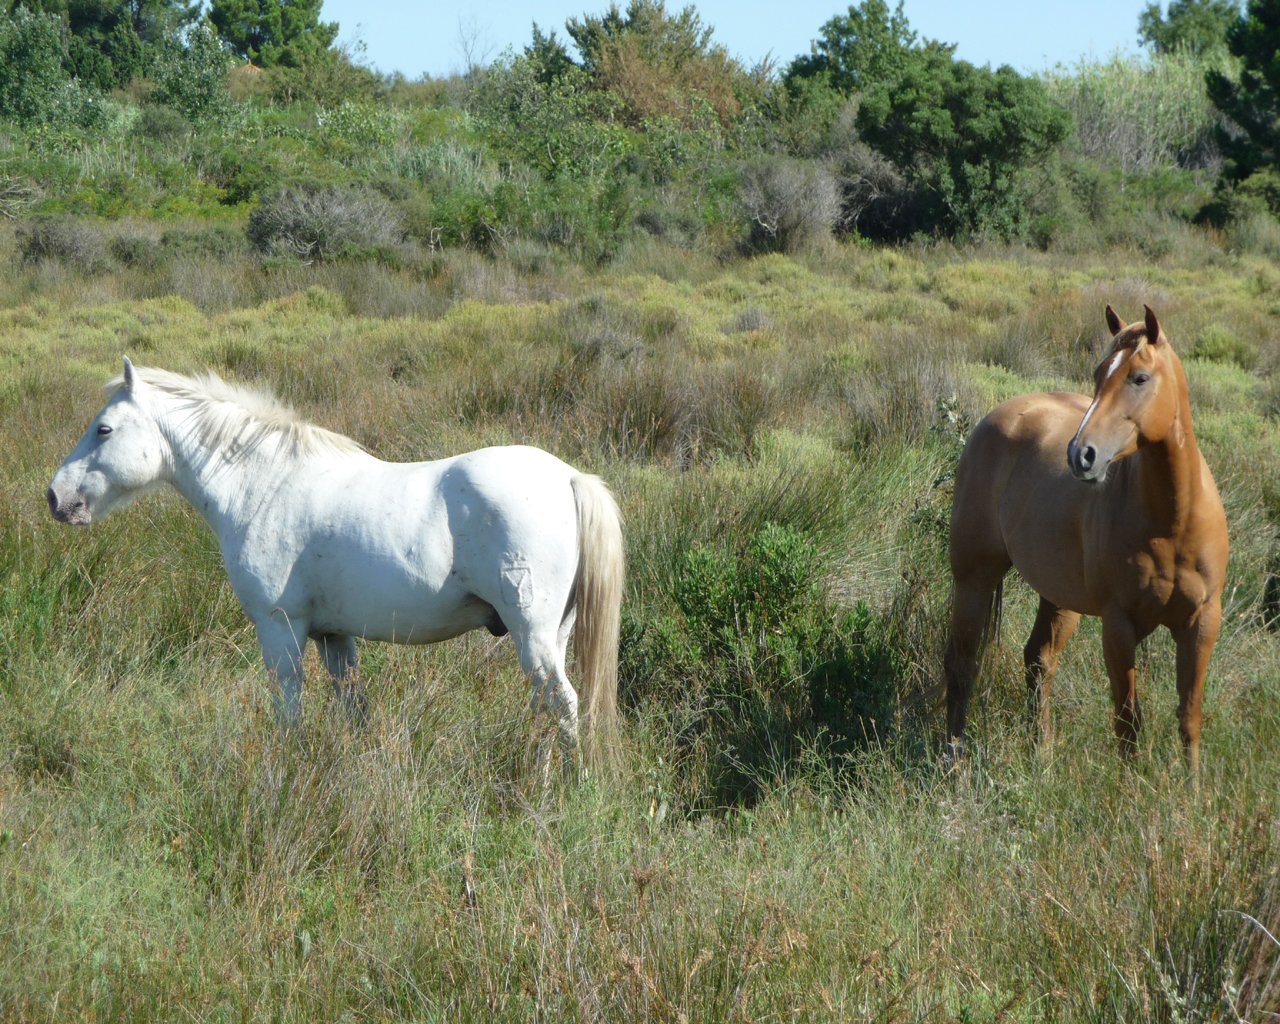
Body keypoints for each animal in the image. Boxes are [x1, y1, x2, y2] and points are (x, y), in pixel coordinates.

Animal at [52, 355, 622, 762]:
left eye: (104, 429)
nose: (57, 497)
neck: (265, 484)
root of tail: (568, 477)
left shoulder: (281, 628)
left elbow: (289, 709)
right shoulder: (334, 637)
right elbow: (354, 708)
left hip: (533, 634)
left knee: (563, 704)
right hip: (551, 635)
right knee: (547, 706)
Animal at [952, 304, 1228, 768]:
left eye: (1139, 378)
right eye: (1099, 373)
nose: (1081, 455)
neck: (1174, 522)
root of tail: (999, 416)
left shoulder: (1201, 622)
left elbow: (1189, 718)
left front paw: (1193, 788)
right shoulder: (1118, 625)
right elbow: (1128, 721)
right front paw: (1130, 786)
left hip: (1059, 597)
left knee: (1038, 660)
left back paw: (1042, 754)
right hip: (974, 577)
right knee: (962, 660)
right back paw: (950, 757)